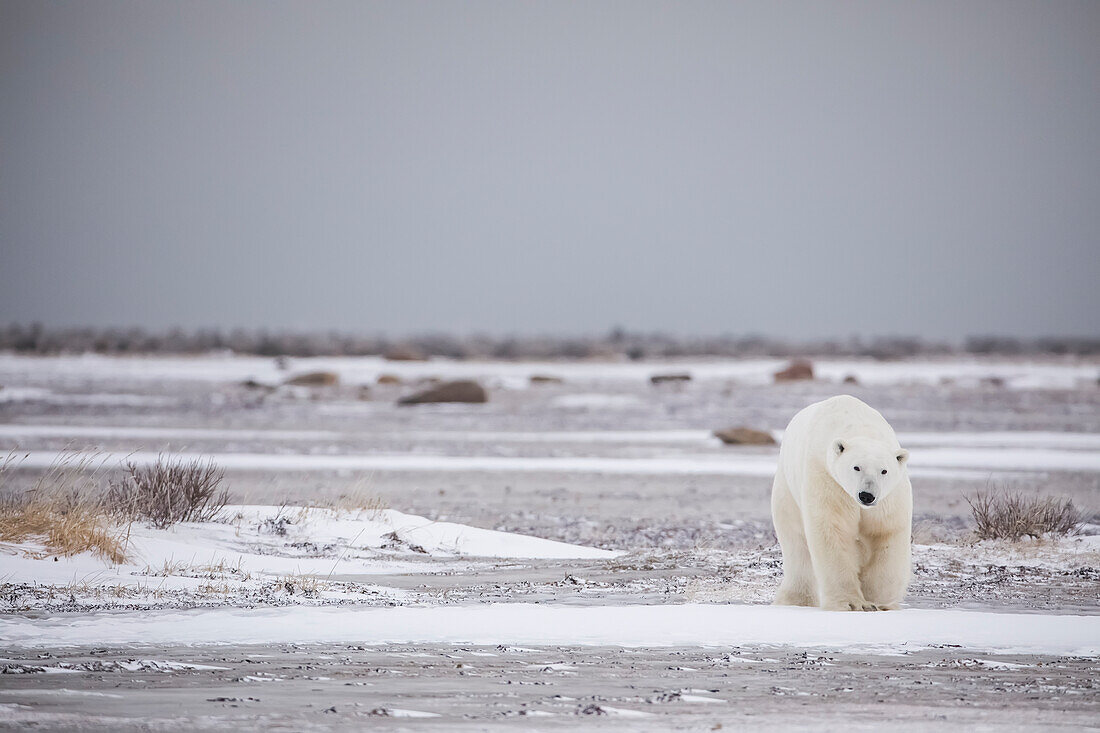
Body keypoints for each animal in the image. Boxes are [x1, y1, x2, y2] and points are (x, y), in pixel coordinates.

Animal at [770, 396, 915, 607]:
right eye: (856, 467)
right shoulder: (828, 479)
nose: (866, 495)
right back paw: (795, 599)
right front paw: (854, 604)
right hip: (787, 488)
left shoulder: (889, 497)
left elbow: (886, 532)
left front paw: (878, 602)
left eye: (884, 470)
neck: (861, 428)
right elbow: (832, 529)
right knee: (795, 540)